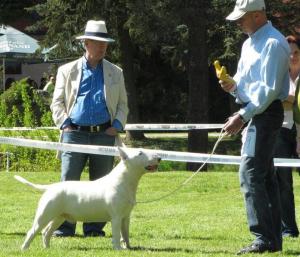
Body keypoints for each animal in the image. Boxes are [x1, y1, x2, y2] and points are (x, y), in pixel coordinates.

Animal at [13, 147, 161, 249]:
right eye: (140, 153)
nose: (159, 157)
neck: (124, 181)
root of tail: (50, 187)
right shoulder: (116, 217)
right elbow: (117, 234)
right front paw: (118, 249)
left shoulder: (126, 217)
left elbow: (125, 234)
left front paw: (128, 248)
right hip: (45, 214)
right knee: (32, 231)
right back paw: (24, 249)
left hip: (59, 217)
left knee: (46, 232)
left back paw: (47, 249)